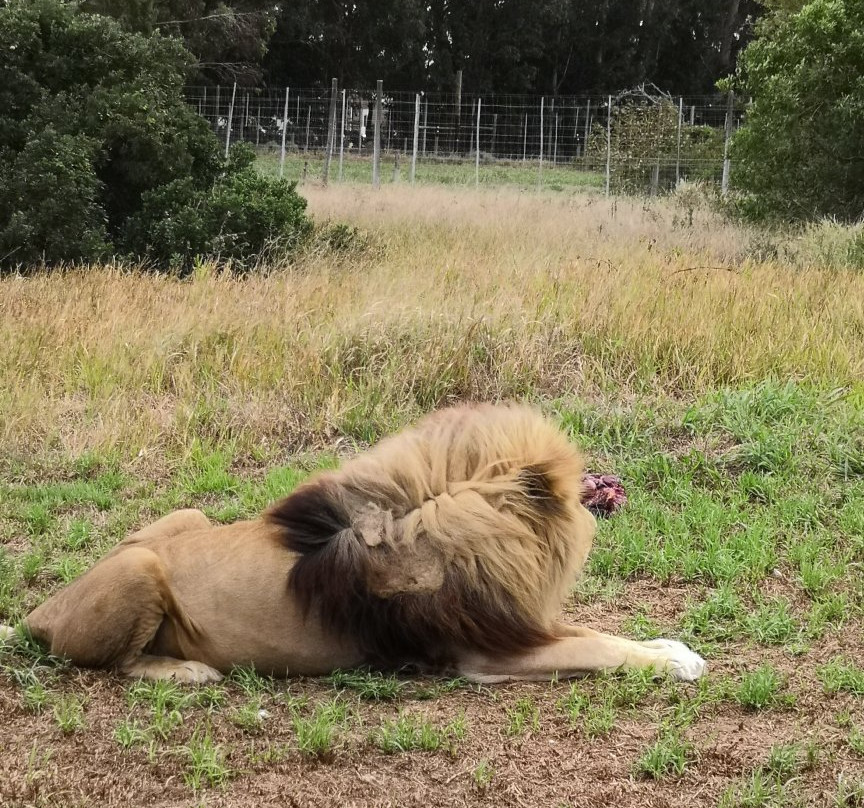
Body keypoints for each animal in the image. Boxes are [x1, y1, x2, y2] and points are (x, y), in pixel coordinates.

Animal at [0, 403, 705, 684]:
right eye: (582, 484)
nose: (612, 483)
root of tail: (42, 610)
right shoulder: (485, 652)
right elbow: (598, 646)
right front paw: (677, 663)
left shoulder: (516, 618)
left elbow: (599, 631)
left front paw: (670, 646)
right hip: (140, 570)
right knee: (113, 663)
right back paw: (188, 672)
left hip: (181, 519)